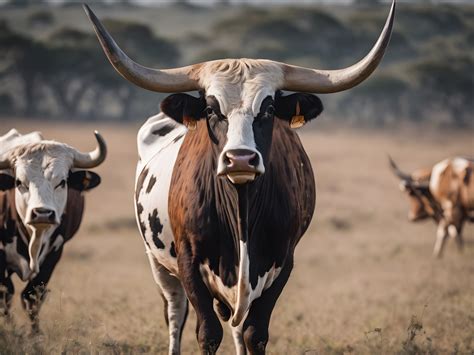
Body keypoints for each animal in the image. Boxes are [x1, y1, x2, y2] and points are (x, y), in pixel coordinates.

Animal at [0, 129, 105, 332]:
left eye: (62, 182)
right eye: (19, 182)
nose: (42, 213)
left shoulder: (53, 255)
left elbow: (33, 297)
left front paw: (35, 335)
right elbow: (5, 295)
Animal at [86, 1, 396, 354]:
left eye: (269, 108)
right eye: (210, 109)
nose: (240, 159)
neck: (241, 210)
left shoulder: (281, 263)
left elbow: (253, 333)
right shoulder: (189, 262)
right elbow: (207, 332)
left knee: (235, 326)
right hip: (159, 264)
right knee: (175, 316)